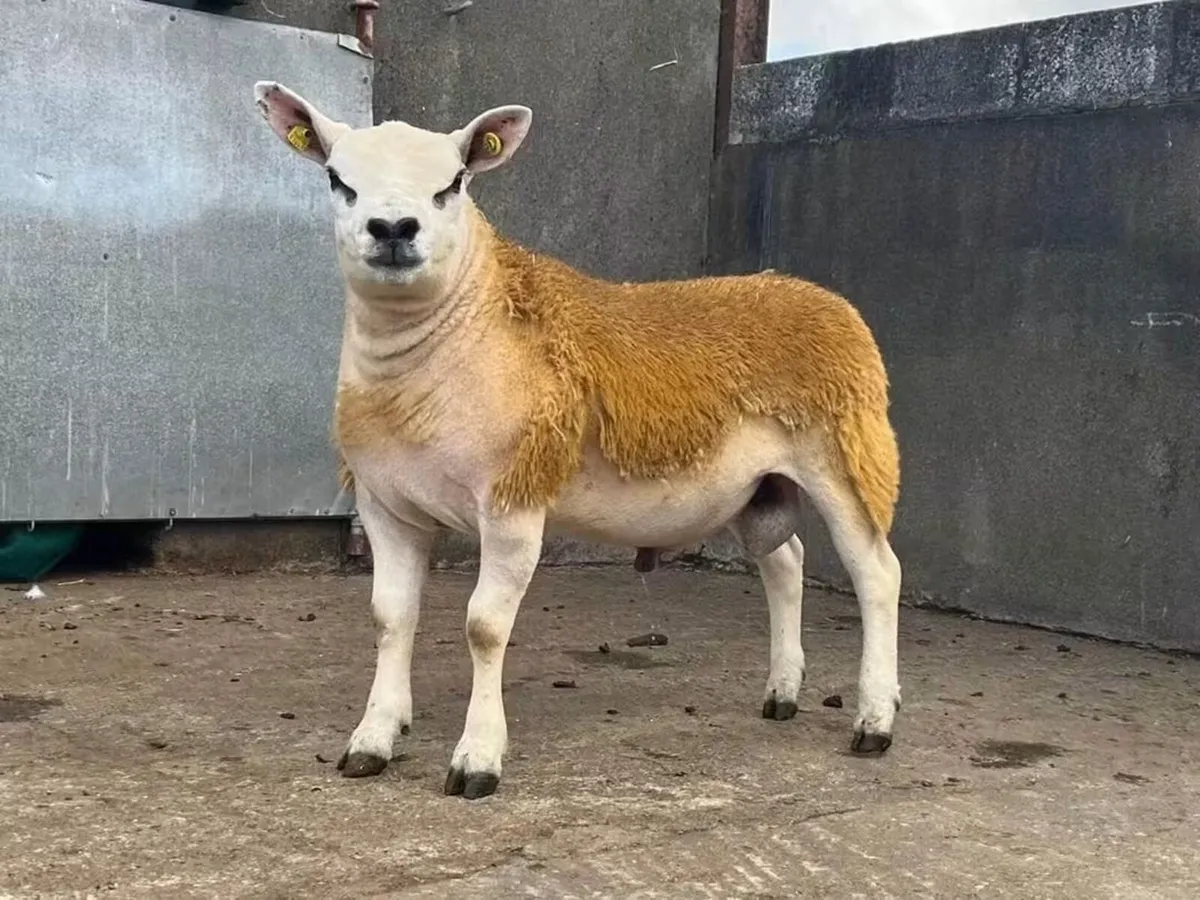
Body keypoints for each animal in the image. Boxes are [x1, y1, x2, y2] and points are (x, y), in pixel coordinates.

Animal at [254, 80, 903, 800]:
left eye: (453, 183)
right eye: (338, 180)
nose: (393, 230)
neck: (455, 338)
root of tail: (819, 297)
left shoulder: (514, 497)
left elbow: (484, 627)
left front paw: (477, 758)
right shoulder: (386, 505)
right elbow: (390, 617)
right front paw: (373, 737)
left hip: (845, 454)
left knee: (877, 574)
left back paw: (875, 720)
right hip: (758, 486)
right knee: (784, 562)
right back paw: (783, 692)